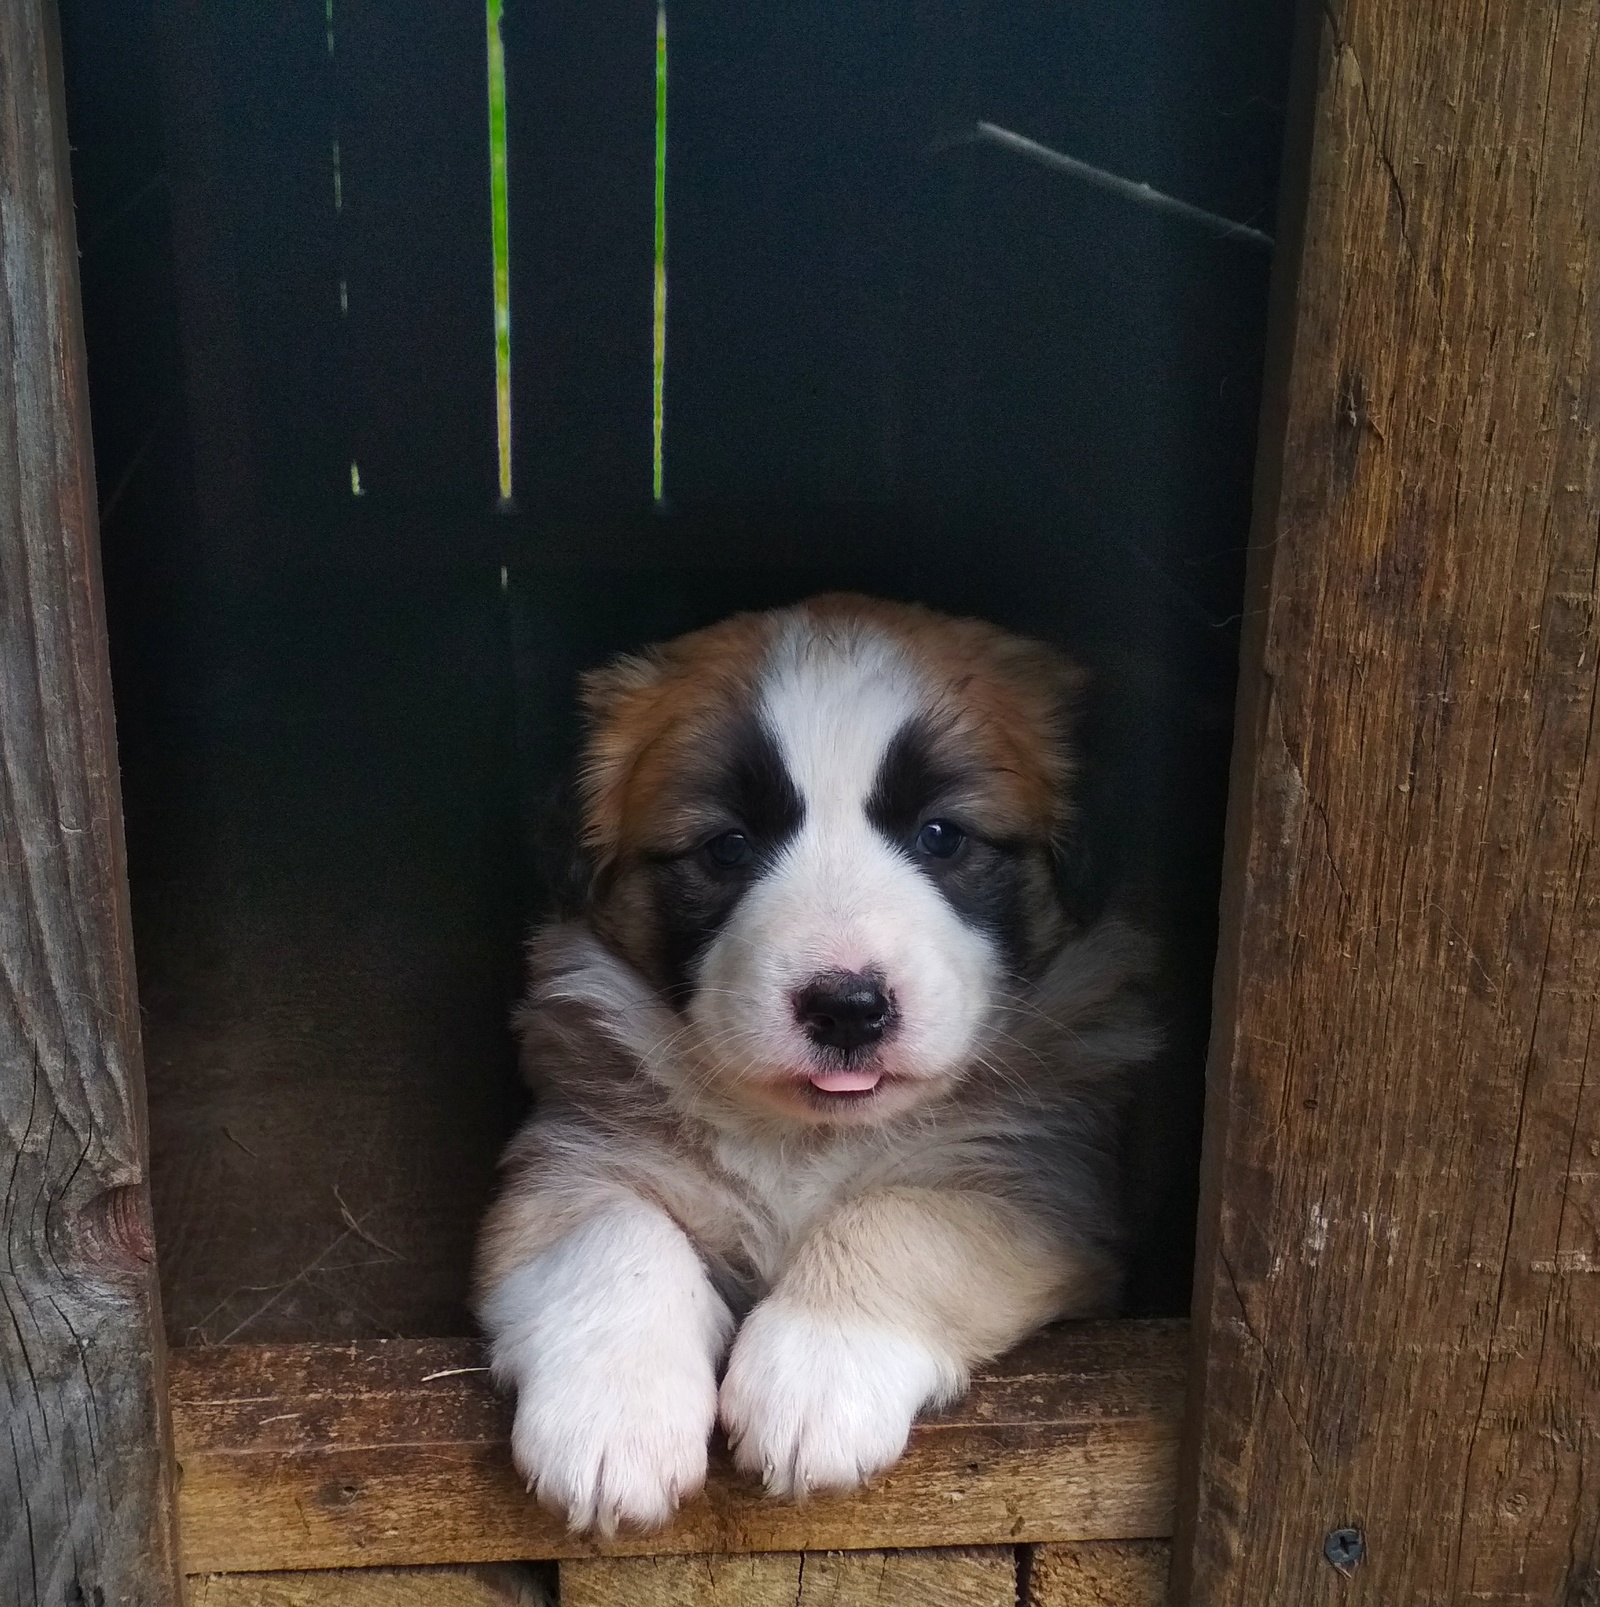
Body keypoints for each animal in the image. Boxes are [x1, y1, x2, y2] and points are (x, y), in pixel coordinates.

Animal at [469, 591, 1156, 1529]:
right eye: (727, 847)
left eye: (941, 836)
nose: (848, 1007)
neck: (806, 1136)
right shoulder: (572, 1153)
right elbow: (612, 1233)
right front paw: (612, 1417)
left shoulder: (1041, 1184)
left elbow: (903, 1214)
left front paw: (818, 1370)